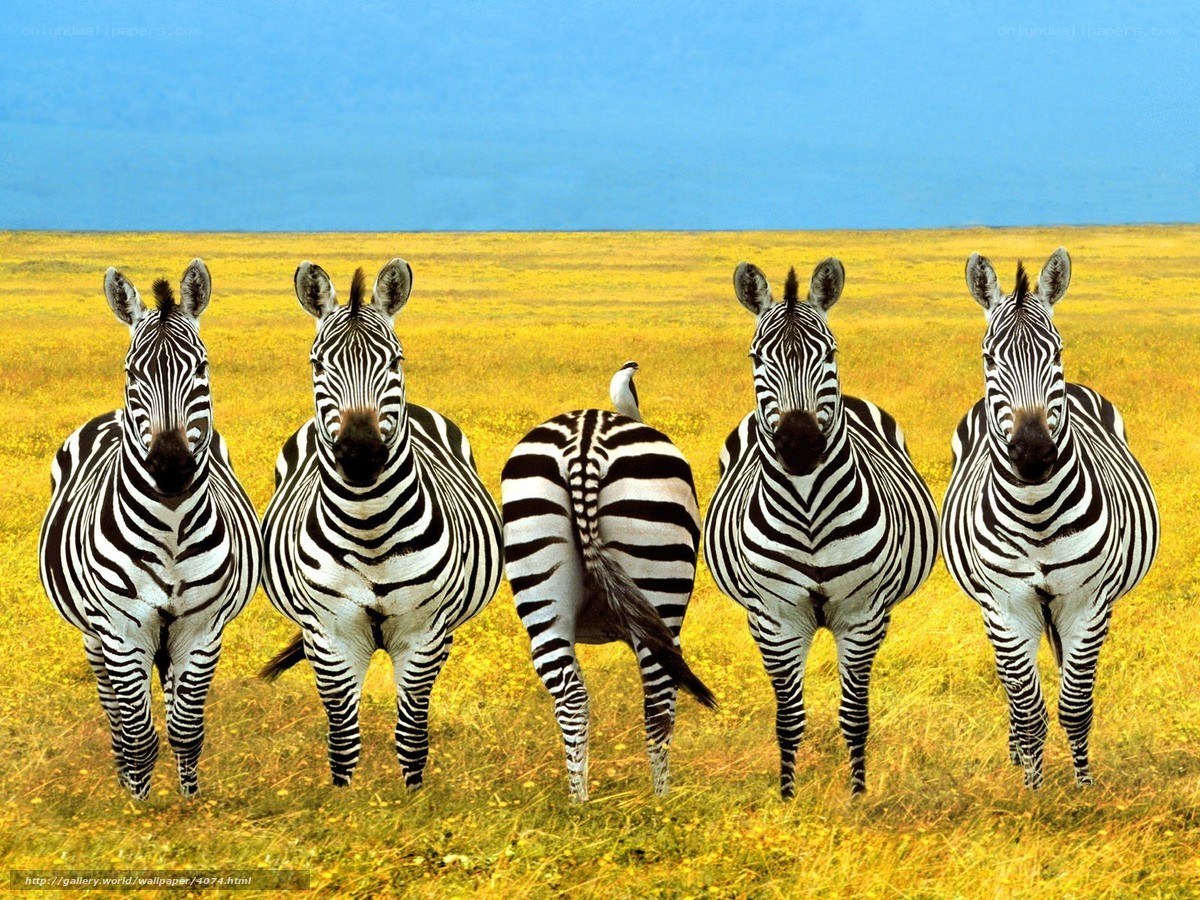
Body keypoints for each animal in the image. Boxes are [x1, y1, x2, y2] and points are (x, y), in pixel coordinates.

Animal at [38, 260, 262, 799]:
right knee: (115, 713)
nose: (170, 465)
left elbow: (186, 727)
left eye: (201, 368)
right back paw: (123, 776)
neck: (171, 529)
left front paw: (189, 803)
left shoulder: (201, 630)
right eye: (131, 372)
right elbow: (138, 734)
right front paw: (137, 806)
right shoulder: (121, 630)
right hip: (95, 637)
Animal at [258, 259, 503, 790]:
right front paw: (343, 801)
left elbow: (411, 735)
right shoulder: (331, 635)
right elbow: (343, 739)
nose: (361, 453)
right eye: (317, 365)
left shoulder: (423, 634)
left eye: (395, 360)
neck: (370, 529)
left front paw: (413, 800)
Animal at [500, 361, 715, 801]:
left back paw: (579, 802)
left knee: (571, 697)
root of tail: (585, 439)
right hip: (660, 585)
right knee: (658, 699)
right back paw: (661, 801)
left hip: (539, 579)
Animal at [705, 259, 938, 797]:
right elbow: (789, 719)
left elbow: (854, 715)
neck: (810, 510)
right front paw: (788, 797)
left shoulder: (863, 616)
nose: (799, 444)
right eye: (756, 357)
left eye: (829, 352)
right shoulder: (775, 619)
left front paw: (857, 795)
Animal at [942, 248, 1159, 789]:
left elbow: (1075, 706)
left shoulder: (1088, 602)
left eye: (1056, 353)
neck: (1037, 511)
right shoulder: (1006, 605)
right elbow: (1028, 709)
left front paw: (1083, 789)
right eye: (988, 358)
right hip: (993, 610)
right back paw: (1017, 755)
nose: (1034, 453)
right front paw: (1033, 791)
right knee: (1011, 687)